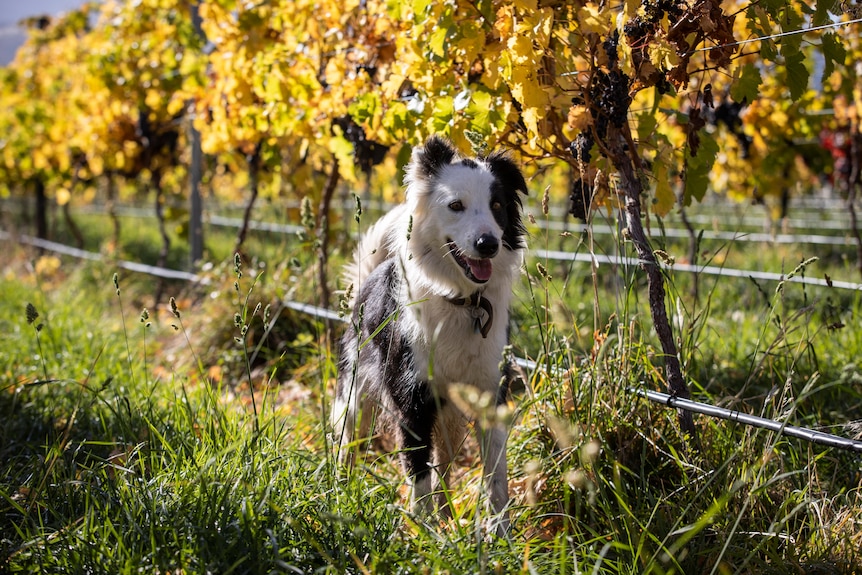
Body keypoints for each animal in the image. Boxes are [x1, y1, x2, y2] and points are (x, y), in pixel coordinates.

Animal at [334, 135, 528, 536]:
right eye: (456, 206)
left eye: (497, 206)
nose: (488, 244)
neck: (462, 301)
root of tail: (372, 275)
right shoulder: (413, 399)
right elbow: (418, 473)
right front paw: (422, 534)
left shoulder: (490, 393)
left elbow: (495, 476)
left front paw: (500, 534)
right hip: (355, 392)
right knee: (348, 442)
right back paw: (340, 489)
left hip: (450, 417)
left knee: (445, 465)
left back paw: (446, 516)